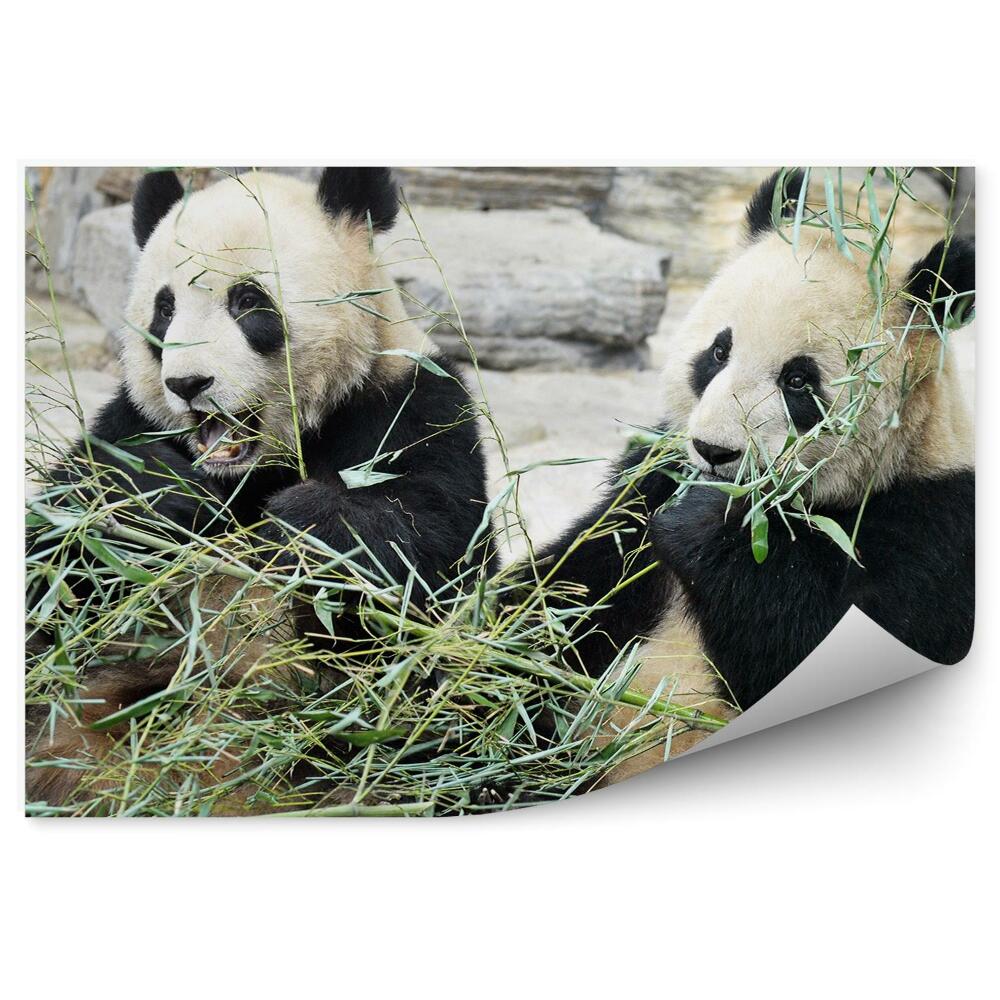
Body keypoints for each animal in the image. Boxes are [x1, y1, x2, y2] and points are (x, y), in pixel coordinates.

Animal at [26, 167, 493, 805]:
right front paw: (158, 493)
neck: (259, 467)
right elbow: (57, 557)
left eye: (248, 302)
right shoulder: (125, 423)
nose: (187, 383)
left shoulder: (413, 405)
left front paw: (306, 526)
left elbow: (431, 548)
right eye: (164, 310)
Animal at [533, 170, 975, 773]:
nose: (713, 450)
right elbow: (570, 590)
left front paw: (707, 524)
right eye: (718, 352)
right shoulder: (648, 483)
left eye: (798, 381)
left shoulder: (933, 526)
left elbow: (804, 644)